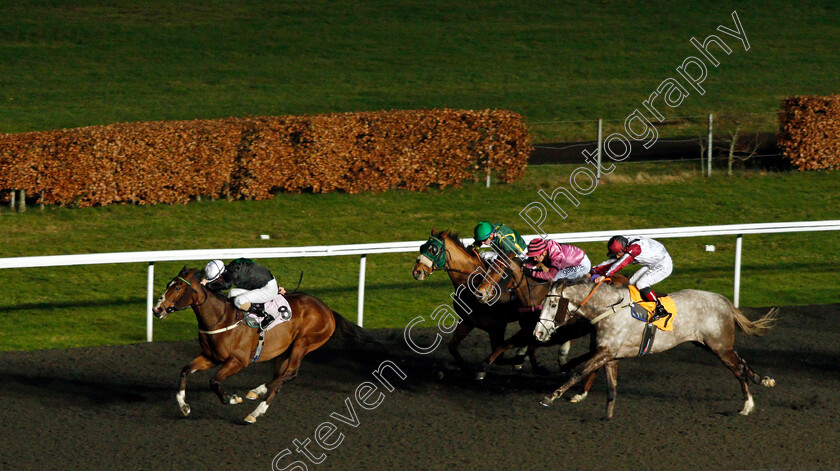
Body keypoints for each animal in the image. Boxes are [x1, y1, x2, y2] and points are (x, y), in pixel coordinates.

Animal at [153, 268, 356, 426]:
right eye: (168, 284)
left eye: (177, 287)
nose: (157, 309)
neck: (220, 318)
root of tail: (328, 310)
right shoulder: (211, 357)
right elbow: (185, 370)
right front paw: (184, 406)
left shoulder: (239, 361)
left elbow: (214, 381)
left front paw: (232, 398)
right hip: (284, 350)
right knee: (279, 378)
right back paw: (255, 406)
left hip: (303, 343)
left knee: (289, 375)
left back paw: (256, 395)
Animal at [412, 230, 540, 380]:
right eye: (422, 247)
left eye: (434, 249)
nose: (416, 272)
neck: (471, 282)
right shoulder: (467, 321)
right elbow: (452, 347)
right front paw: (468, 372)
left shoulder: (497, 326)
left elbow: (499, 355)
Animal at [536, 278, 776, 418]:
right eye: (543, 304)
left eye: (554, 305)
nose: (537, 333)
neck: (608, 308)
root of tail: (723, 300)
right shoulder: (610, 354)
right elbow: (610, 386)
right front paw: (607, 416)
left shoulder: (607, 351)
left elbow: (580, 371)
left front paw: (551, 396)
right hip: (709, 344)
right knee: (741, 362)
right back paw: (762, 380)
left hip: (719, 346)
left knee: (739, 369)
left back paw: (747, 405)